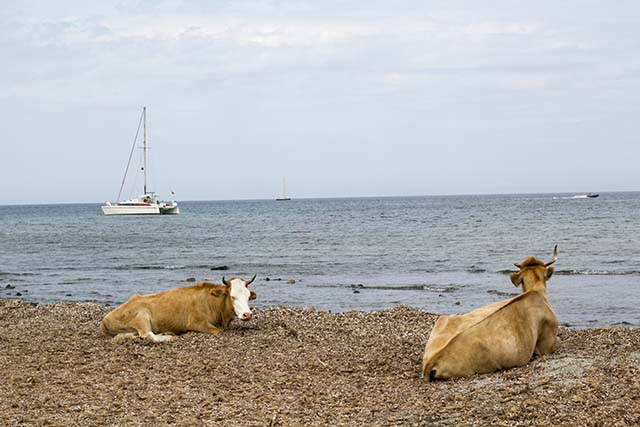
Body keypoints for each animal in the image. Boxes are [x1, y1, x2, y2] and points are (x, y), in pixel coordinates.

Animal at [100, 276, 258, 342]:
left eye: (248, 296)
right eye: (232, 297)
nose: (247, 314)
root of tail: (104, 320)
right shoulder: (196, 322)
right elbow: (218, 331)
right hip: (142, 315)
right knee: (147, 334)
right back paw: (168, 337)